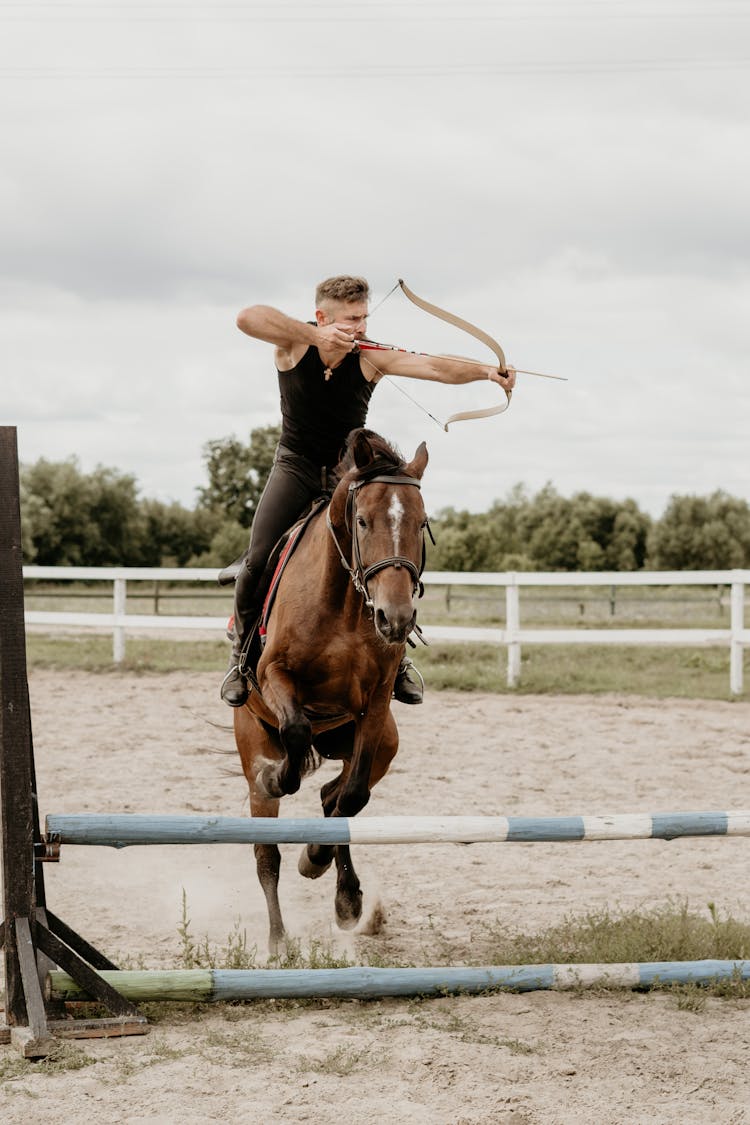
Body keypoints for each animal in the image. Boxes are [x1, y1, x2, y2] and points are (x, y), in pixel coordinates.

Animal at [235, 425, 434, 954]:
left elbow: (352, 797)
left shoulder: (376, 702)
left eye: (421, 524)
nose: (395, 618)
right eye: (362, 521)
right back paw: (279, 943)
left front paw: (317, 860)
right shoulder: (275, 677)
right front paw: (277, 777)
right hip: (252, 738)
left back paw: (347, 899)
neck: (343, 602)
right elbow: (296, 732)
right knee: (266, 855)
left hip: (383, 742)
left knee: (335, 796)